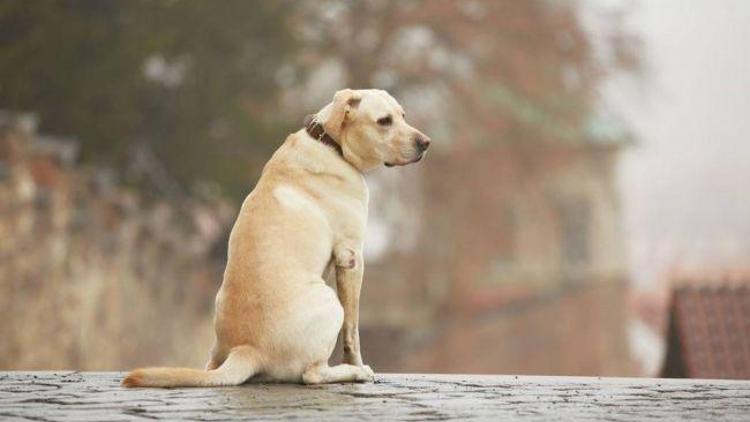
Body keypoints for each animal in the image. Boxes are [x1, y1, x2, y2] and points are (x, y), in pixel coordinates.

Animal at [121, 90, 432, 390]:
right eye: (384, 121)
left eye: (403, 115)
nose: (426, 143)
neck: (330, 144)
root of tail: (247, 350)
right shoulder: (351, 256)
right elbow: (353, 331)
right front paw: (358, 364)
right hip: (331, 303)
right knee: (312, 374)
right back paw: (353, 372)